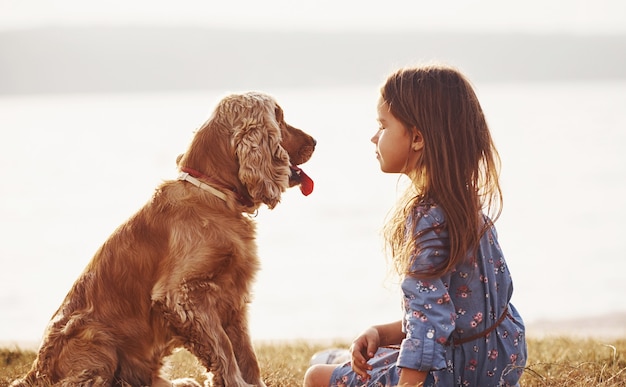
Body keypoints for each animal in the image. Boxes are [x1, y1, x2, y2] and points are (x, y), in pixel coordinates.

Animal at [13, 91, 316, 387]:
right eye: (280, 117)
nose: (315, 141)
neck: (214, 196)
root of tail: (34, 372)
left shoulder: (234, 295)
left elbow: (246, 353)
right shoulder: (181, 295)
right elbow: (224, 349)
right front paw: (235, 382)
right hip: (98, 341)